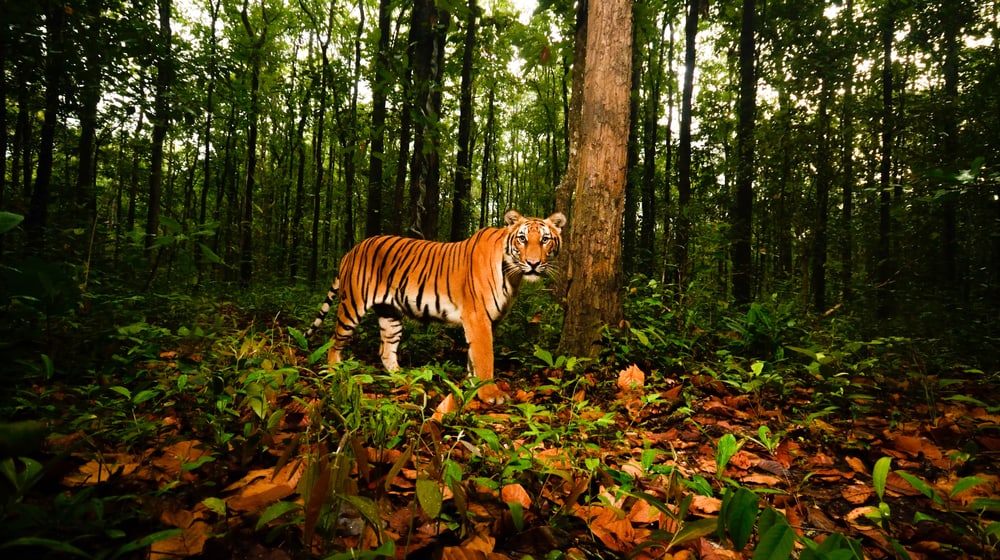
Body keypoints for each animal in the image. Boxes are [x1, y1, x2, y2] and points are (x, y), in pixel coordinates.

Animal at [305, 210, 566, 405]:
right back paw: (334, 373)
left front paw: (471, 388)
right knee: (334, 341)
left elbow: (473, 357)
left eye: (545, 239)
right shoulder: (478, 318)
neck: (513, 275)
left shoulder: (487, 321)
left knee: (386, 351)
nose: (533, 264)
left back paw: (405, 379)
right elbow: (485, 358)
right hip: (352, 305)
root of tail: (351, 250)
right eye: (522, 238)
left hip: (390, 315)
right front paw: (489, 394)